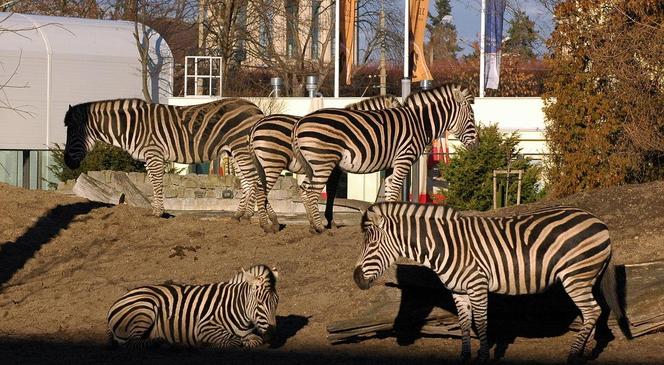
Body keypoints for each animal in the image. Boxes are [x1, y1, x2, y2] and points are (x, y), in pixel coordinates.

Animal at [63, 96, 264, 218]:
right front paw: (156, 209)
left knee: (252, 179)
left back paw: (248, 215)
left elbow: (157, 183)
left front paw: (158, 212)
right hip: (234, 151)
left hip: (241, 148)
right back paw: (239, 215)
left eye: (72, 133)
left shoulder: (154, 153)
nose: (67, 163)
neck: (131, 126)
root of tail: (256, 108)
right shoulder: (149, 157)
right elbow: (153, 182)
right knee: (246, 180)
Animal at [107, 264, 278, 346]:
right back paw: (163, 343)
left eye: (276, 303)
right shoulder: (204, 326)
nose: (272, 335)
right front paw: (206, 344)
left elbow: (254, 340)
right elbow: (234, 341)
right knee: (133, 343)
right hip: (144, 311)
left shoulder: (249, 332)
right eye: (260, 303)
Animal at [249, 93, 402, 230]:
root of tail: (256, 125)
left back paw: (272, 220)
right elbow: (331, 192)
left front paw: (313, 221)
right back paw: (268, 223)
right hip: (273, 162)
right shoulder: (333, 169)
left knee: (258, 187)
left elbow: (306, 190)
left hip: (264, 164)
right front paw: (329, 222)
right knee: (261, 189)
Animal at [294, 84, 478, 232]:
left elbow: (390, 188)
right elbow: (395, 189)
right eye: (471, 118)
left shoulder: (392, 164)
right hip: (323, 162)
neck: (418, 123)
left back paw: (312, 225)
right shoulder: (404, 159)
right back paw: (319, 228)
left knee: (305, 188)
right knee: (312, 191)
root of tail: (300, 123)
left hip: (314, 165)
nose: (476, 146)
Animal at [356, 200, 624, 362]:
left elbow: (482, 323)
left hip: (576, 275)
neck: (445, 245)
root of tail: (599, 222)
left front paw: (482, 358)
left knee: (592, 311)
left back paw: (573, 354)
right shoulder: (459, 291)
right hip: (586, 277)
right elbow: (465, 324)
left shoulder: (477, 285)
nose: (356, 278)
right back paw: (583, 353)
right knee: (591, 312)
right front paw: (464, 357)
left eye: (372, 244)